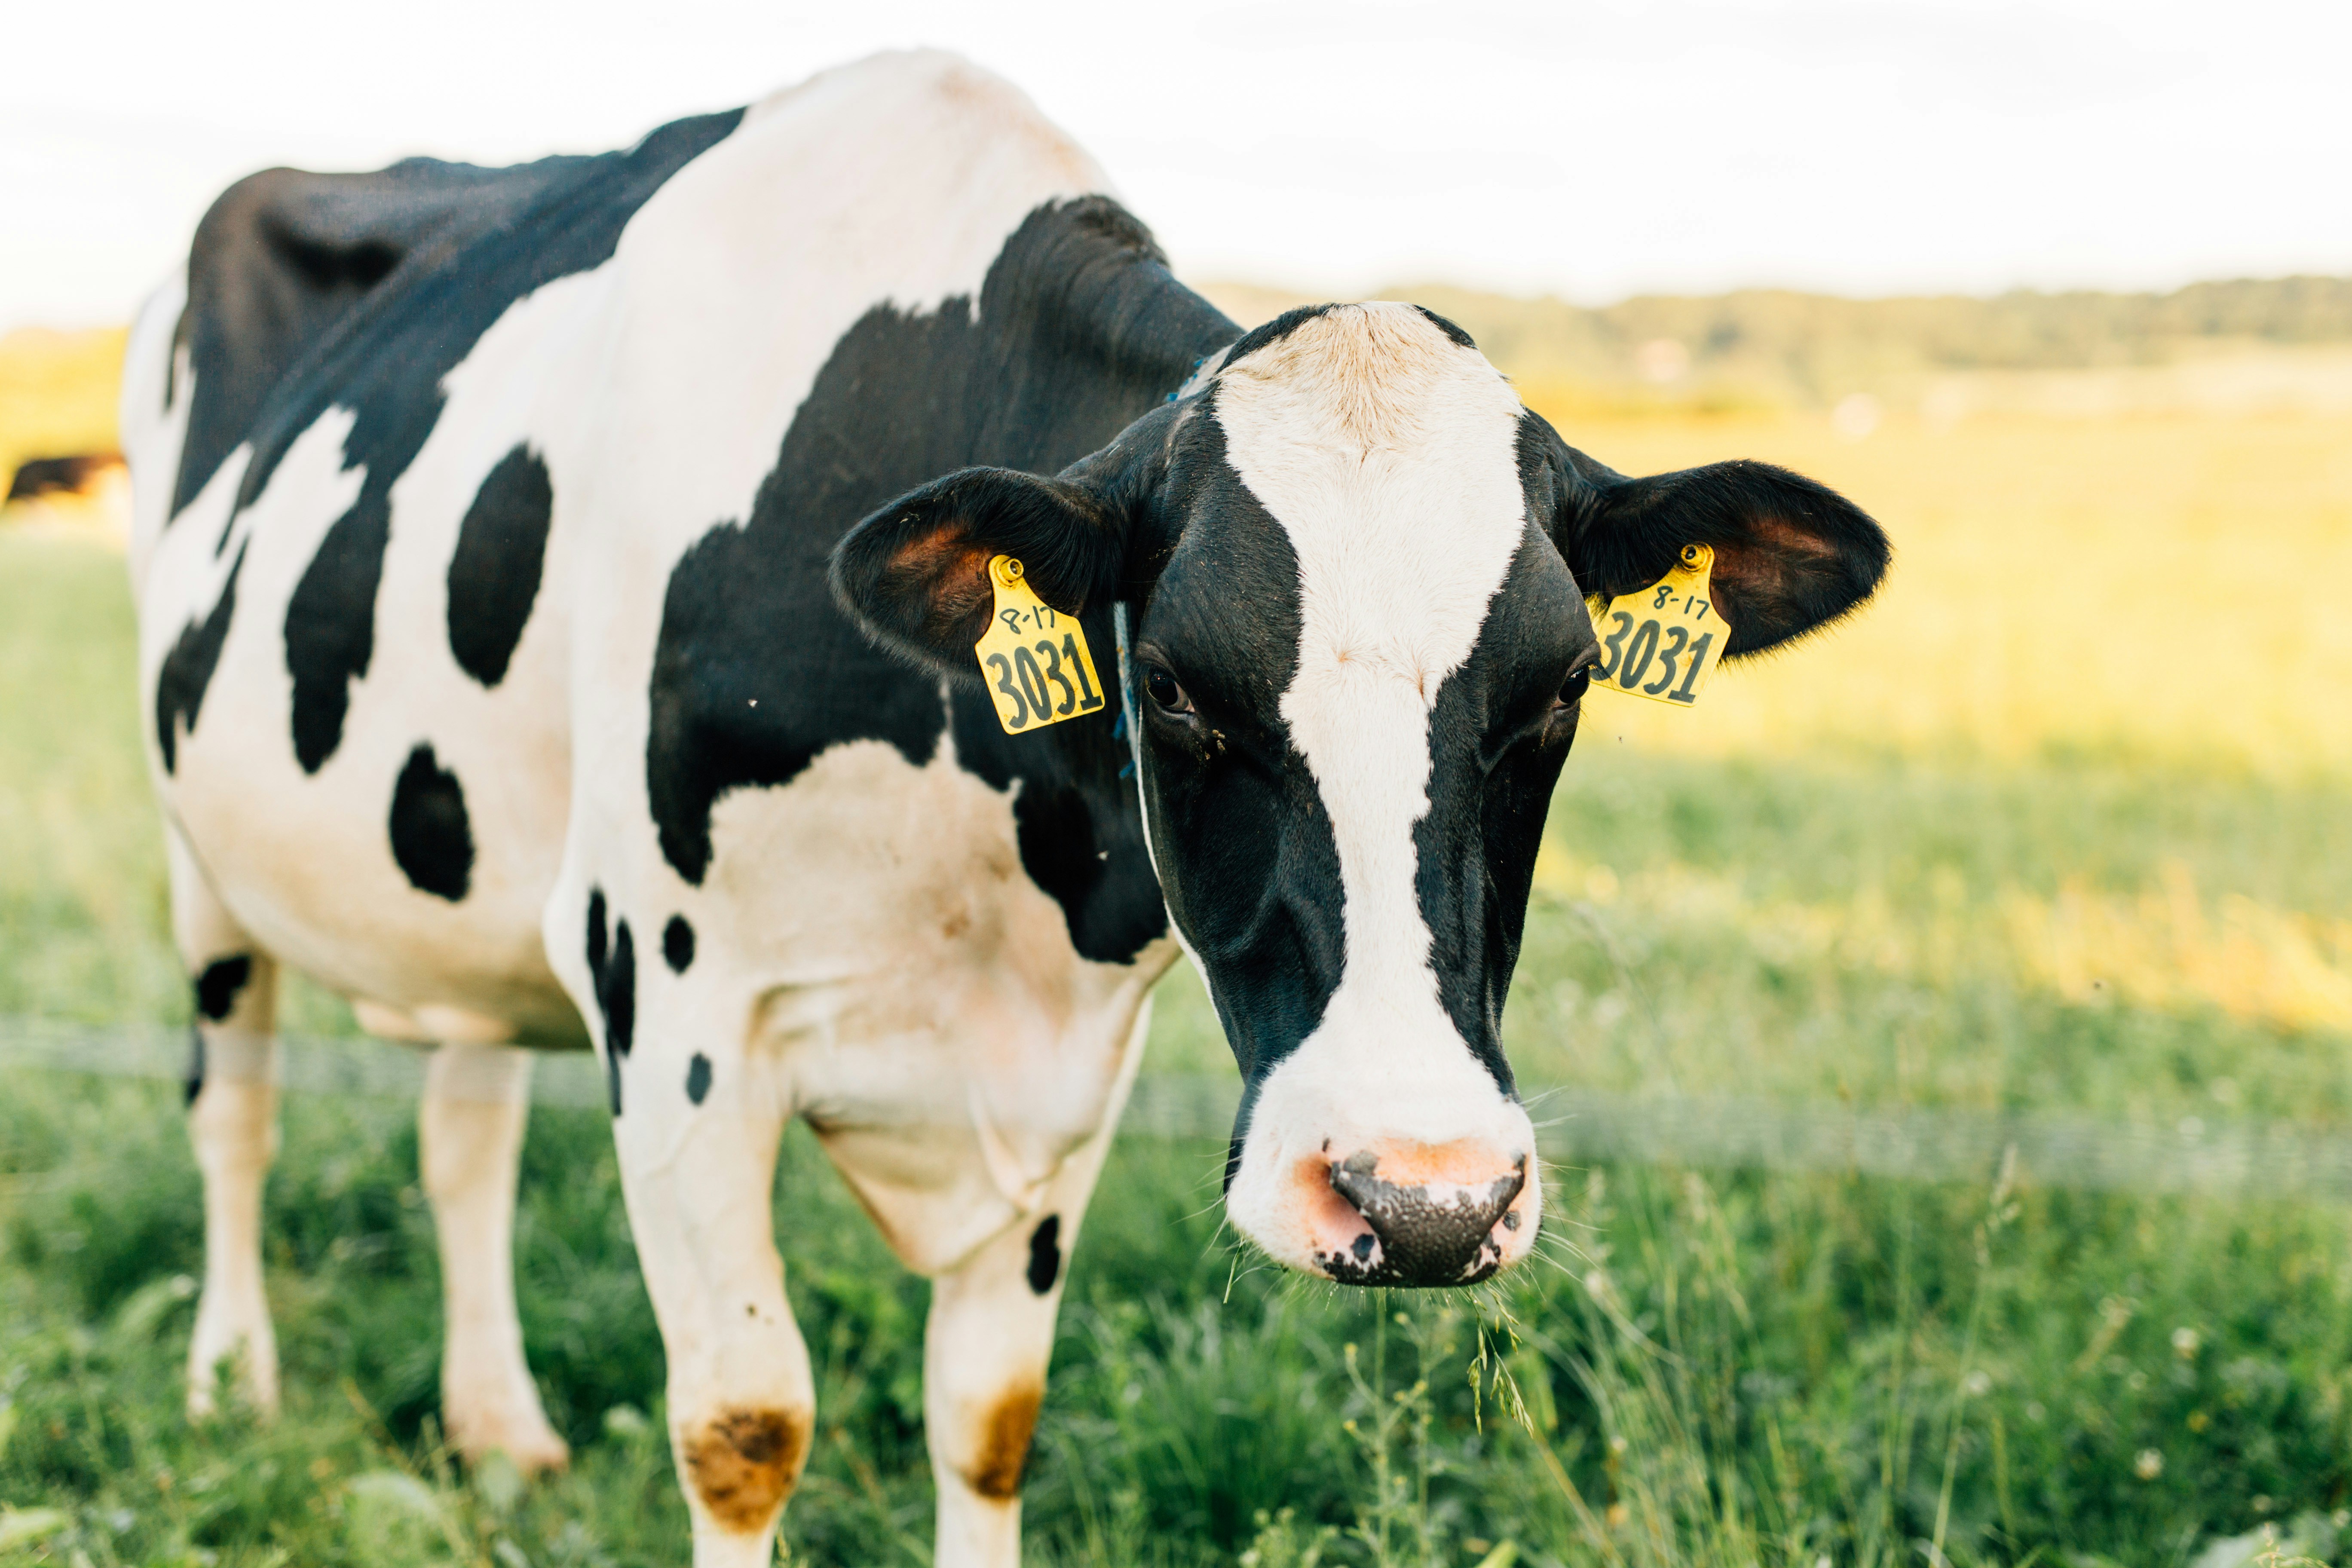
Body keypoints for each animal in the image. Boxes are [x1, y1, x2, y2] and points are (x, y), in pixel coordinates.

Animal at [120, 49, 1888, 1567]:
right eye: (1170, 681)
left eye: (1561, 688)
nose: (1426, 1195)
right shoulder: (675, 1008)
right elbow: (742, 1425)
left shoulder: (1064, 1058)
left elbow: (988, 1418)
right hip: (202, 856)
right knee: (234, 1111)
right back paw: (227, 1379)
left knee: (464, 1126)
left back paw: (498, 1425)